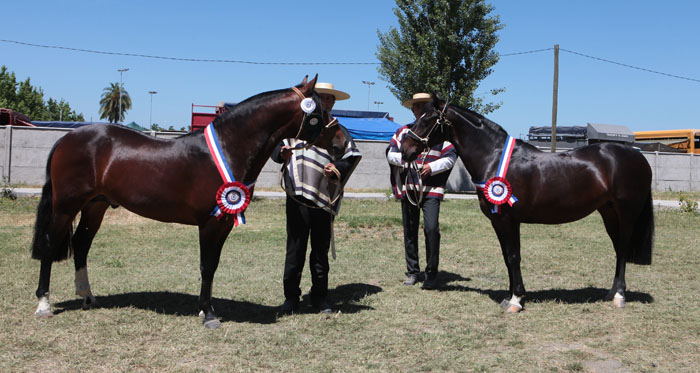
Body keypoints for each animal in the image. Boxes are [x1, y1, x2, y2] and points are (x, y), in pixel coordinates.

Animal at [30, 75, 348, 326]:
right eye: (319, 110)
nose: (343, 141)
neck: (229, 147)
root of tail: (67, 139)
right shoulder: (209, 222)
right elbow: (206, 266)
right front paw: (209, 315)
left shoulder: (222, 223)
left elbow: (213, 265)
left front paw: (205, 309)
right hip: (65, 206)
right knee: (50, 246)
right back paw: (44, 305)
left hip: (96, 205)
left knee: (81, 245)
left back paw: (88, 298)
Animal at [402, 96, 652, 310]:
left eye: (427, 119)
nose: (405, 150)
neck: (494, 157)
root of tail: (637, 156)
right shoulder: (498, 221)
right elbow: (507, 257)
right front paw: (511, 296)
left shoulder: (509, 219)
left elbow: (514, 256)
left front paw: (516, 300)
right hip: (608, 212)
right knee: (618, 249)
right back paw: (611, 293)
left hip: (626, 213)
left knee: (623, 248)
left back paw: (619, 296)